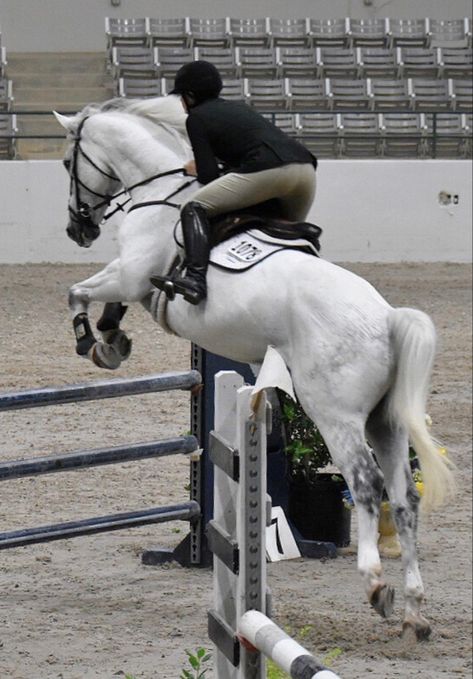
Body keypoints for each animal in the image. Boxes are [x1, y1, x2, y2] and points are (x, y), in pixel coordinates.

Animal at [54, 95, 454, 644]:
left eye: (67, 163)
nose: (79, 229)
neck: (159, 191)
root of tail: (388, 318)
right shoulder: (134, 280)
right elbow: (108, 303)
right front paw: (112, 341)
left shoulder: (132, 273)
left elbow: (78, 292)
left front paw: (90, 340)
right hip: (384, 421)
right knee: (404, 498)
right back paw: (415, 610)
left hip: (335, 415)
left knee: (367, 485)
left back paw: (376, 584)